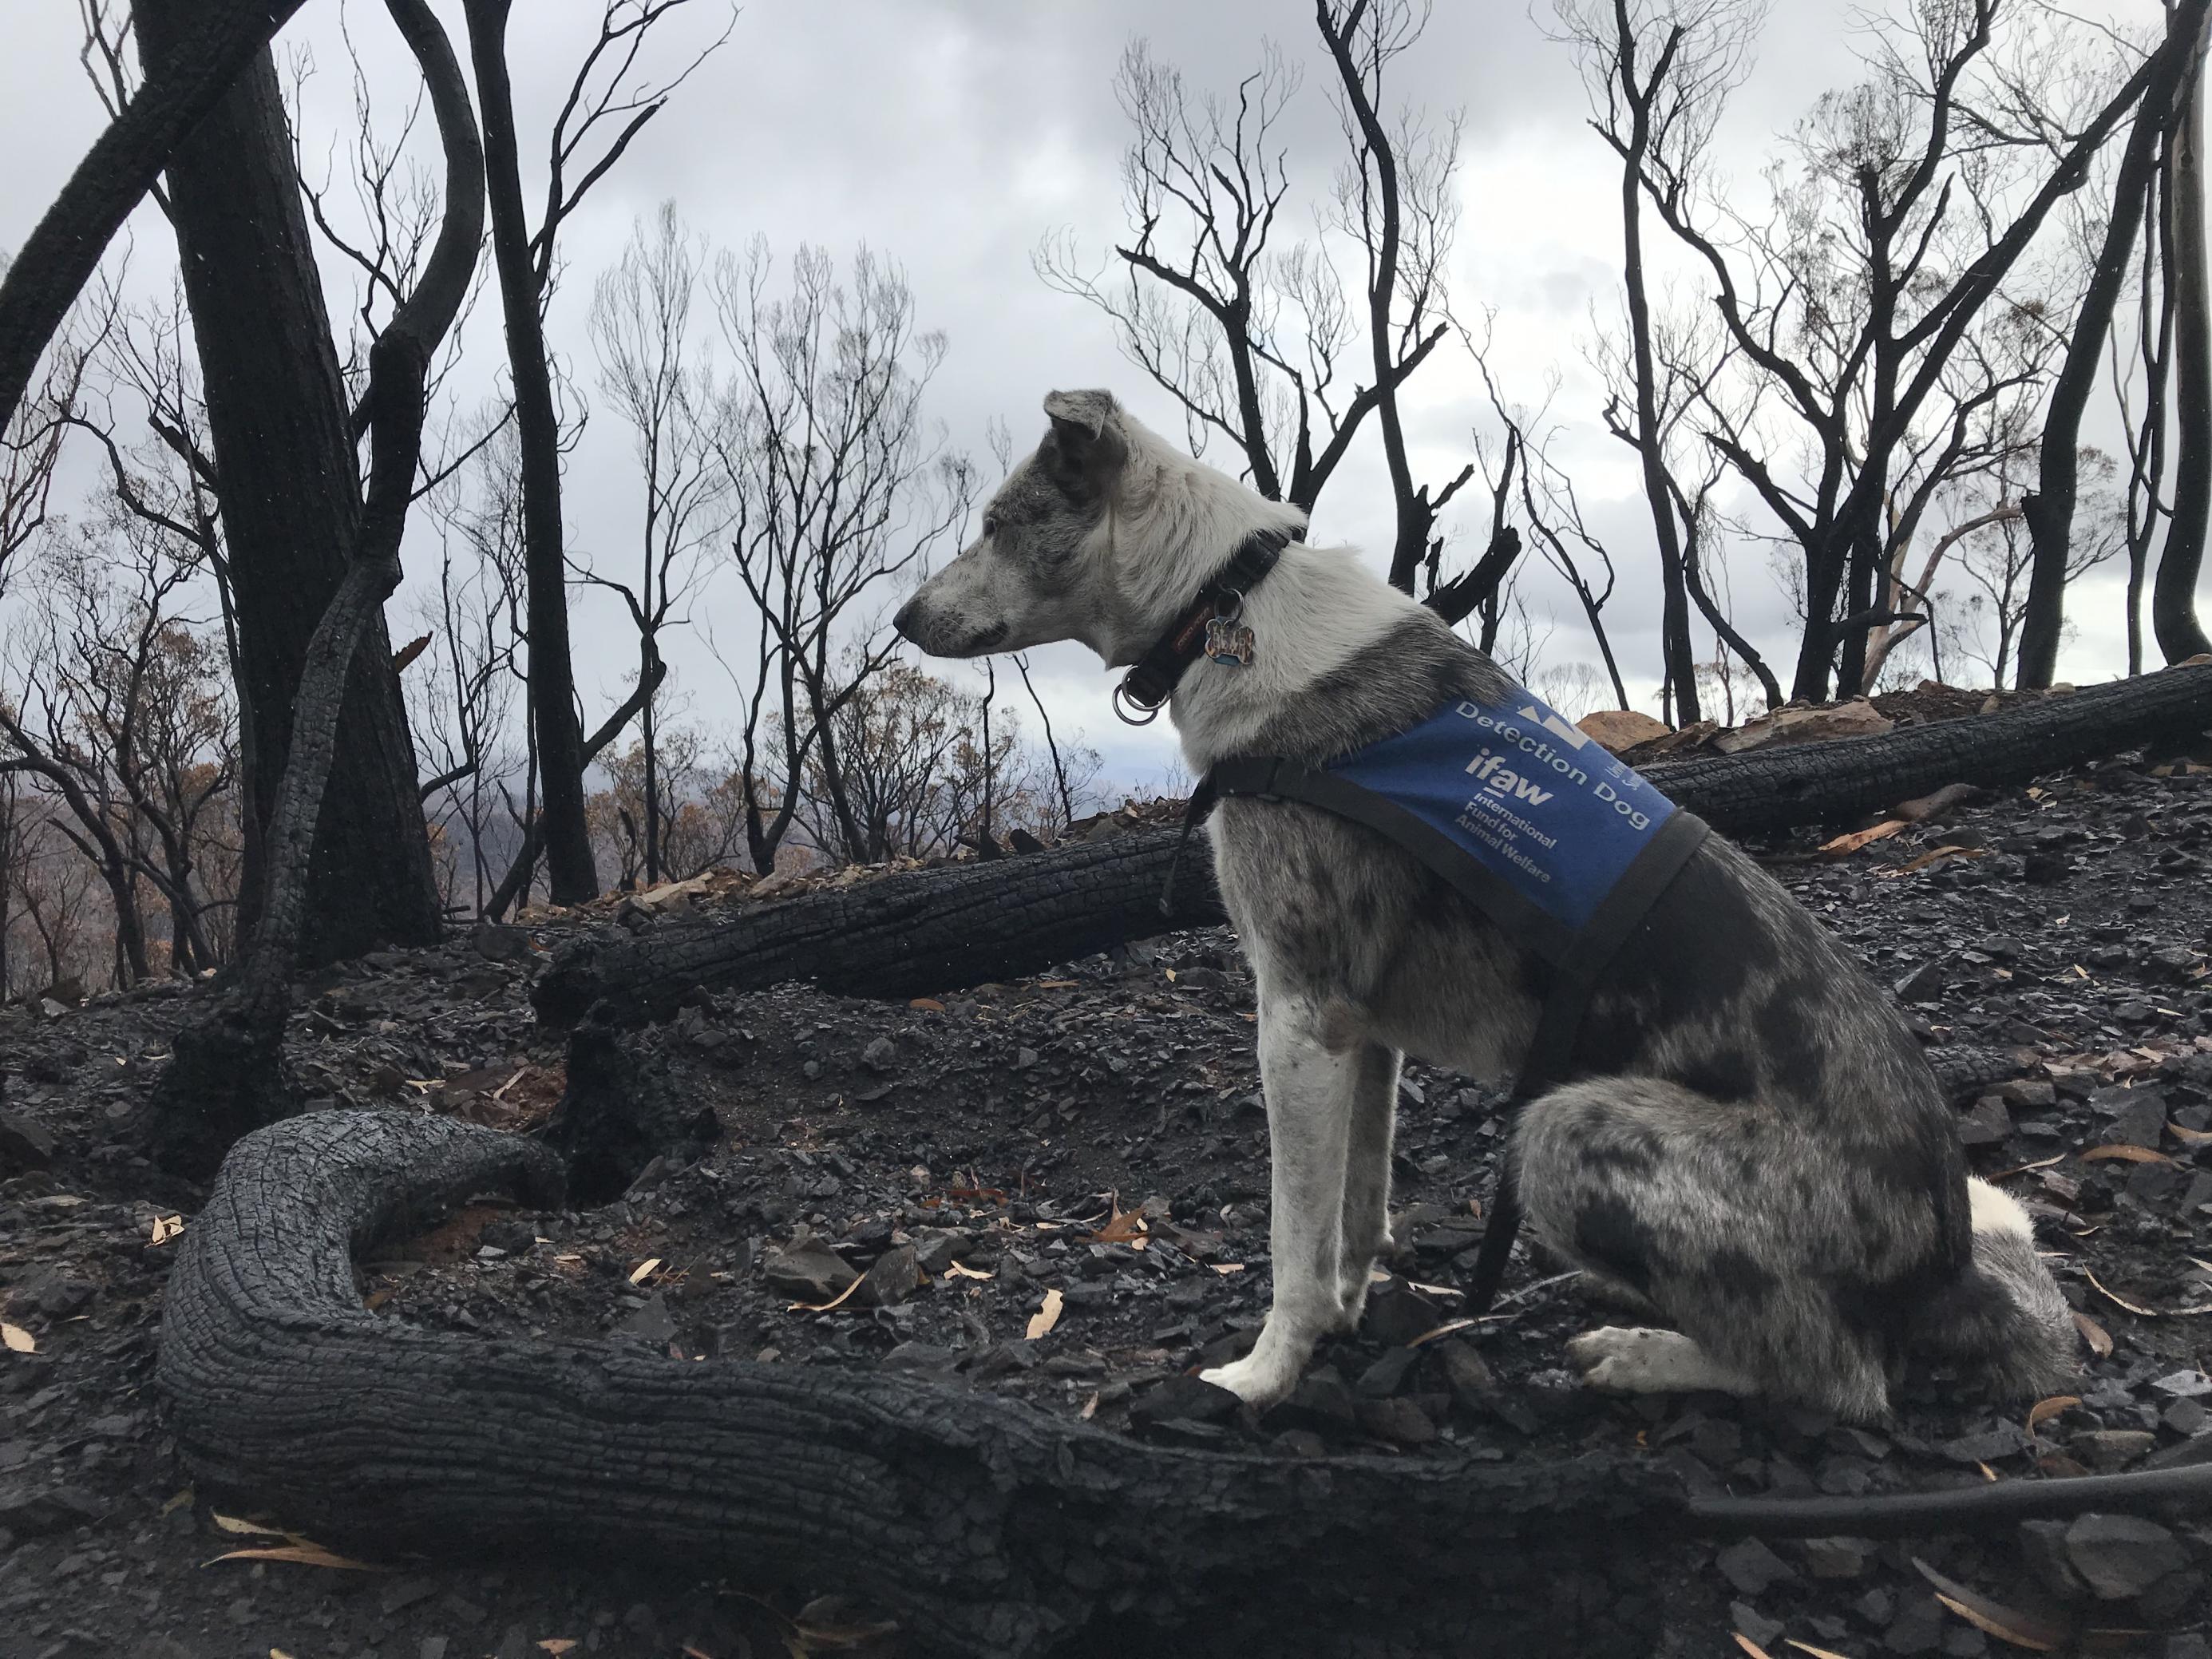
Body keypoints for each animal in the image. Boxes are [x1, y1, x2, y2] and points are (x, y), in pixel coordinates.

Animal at [888, 382, 2061, 1424]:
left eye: (995, 525)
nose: (900, 617)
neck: (1223, 599)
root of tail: (1944, 1259)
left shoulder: (1294, 1014)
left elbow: (1291, 1239)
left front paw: (1263, 1376)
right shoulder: (1362, 1031)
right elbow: (1355, 1211)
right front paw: (1347, 1316)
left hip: (1561, 1127)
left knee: (1841, 1378)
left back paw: (1642, 1354)